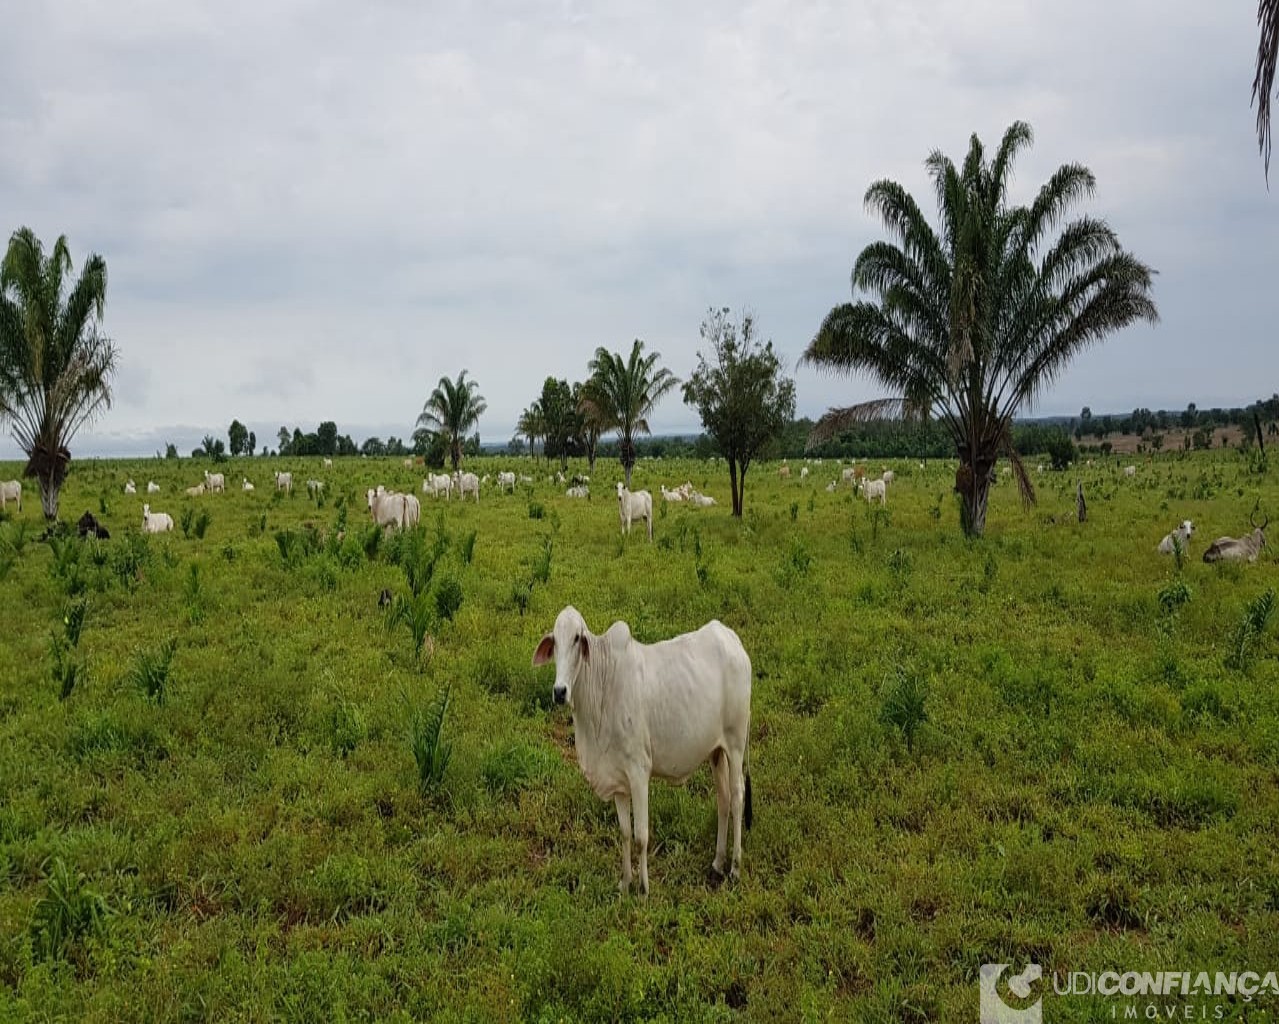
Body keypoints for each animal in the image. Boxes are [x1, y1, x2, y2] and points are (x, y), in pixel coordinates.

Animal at [534, 608, 752, 894]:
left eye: (577, 639)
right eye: (555, 641)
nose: (560, 691)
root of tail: (732, 639)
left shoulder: (639, 773)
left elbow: (641, 836)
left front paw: (644, 888)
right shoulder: (616, 778)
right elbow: (625, 833)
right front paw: (626, 882)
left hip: (736, 743)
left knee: (737, 796)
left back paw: (735, 868)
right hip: (716, 752)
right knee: (723, 798)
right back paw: (717, 863)